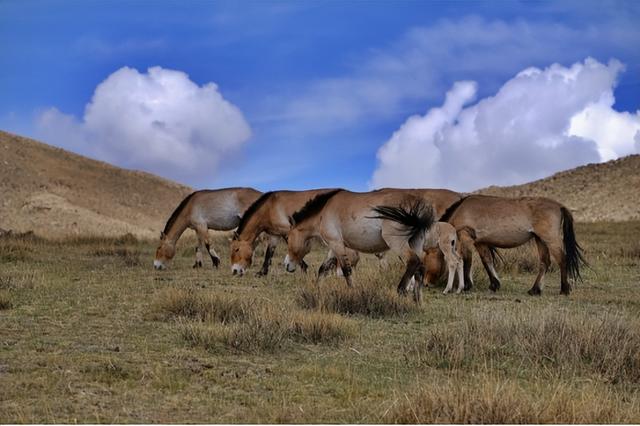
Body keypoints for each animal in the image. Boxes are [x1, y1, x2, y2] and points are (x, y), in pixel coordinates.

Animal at [284, 190, 436, 302]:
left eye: (288, 238)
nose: (286, 265)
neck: (323, 211)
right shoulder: (333, 247)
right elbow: (323, 269)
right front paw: (317, 291)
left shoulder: (337, 245)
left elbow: (346, 271)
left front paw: (353, 294)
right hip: (415, 242)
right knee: (420, 268)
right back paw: (417, 301)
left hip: (397, 242)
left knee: (413, 261)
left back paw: (400, 291)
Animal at [440, 195, 584, 294]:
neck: (461, 210)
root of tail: (559, 206)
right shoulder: (481, 243)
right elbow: (487, 261)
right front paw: (494, 284)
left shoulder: (465, 237)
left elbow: (467, 260)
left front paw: (467, 286)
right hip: (540, 240)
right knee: (545, 262)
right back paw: (534, 290)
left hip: (550, 239)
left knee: (562, 259)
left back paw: (564, 289)